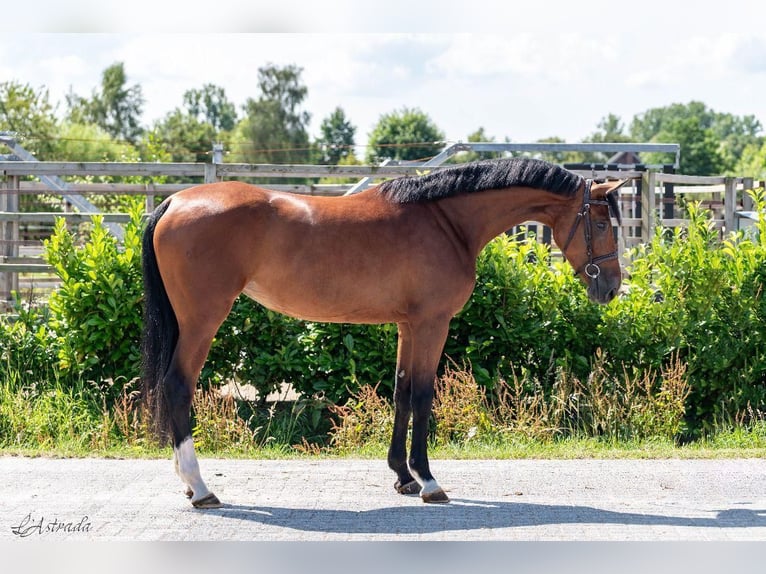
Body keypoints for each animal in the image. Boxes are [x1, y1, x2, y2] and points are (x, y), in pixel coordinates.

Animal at [141, 156, 628, 508]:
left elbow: (401, 390)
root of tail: (173, 203)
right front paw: (428, 480)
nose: (610, 287)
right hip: (203, 319)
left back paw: (189, 485)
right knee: (178, 386)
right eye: (602, 223)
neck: (446, 222)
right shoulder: (433, 323)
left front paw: (402, 477)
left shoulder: (408, 325)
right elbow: (424, 395)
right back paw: (201, 488)